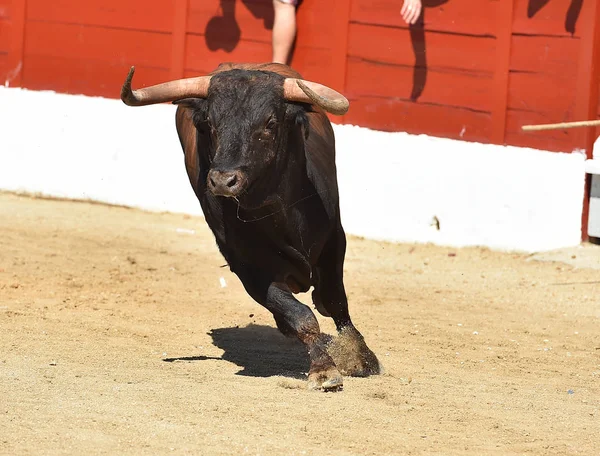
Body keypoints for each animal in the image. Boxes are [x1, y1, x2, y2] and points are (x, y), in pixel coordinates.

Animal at [120, 61, 380, 392]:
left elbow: (335, 301)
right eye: (210, 124)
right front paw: (324, 369)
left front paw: (361, 357)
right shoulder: (247, 268)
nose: (223, 180)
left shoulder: (335, 240)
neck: (276, 209)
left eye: (270, 123)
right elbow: (300, 315)